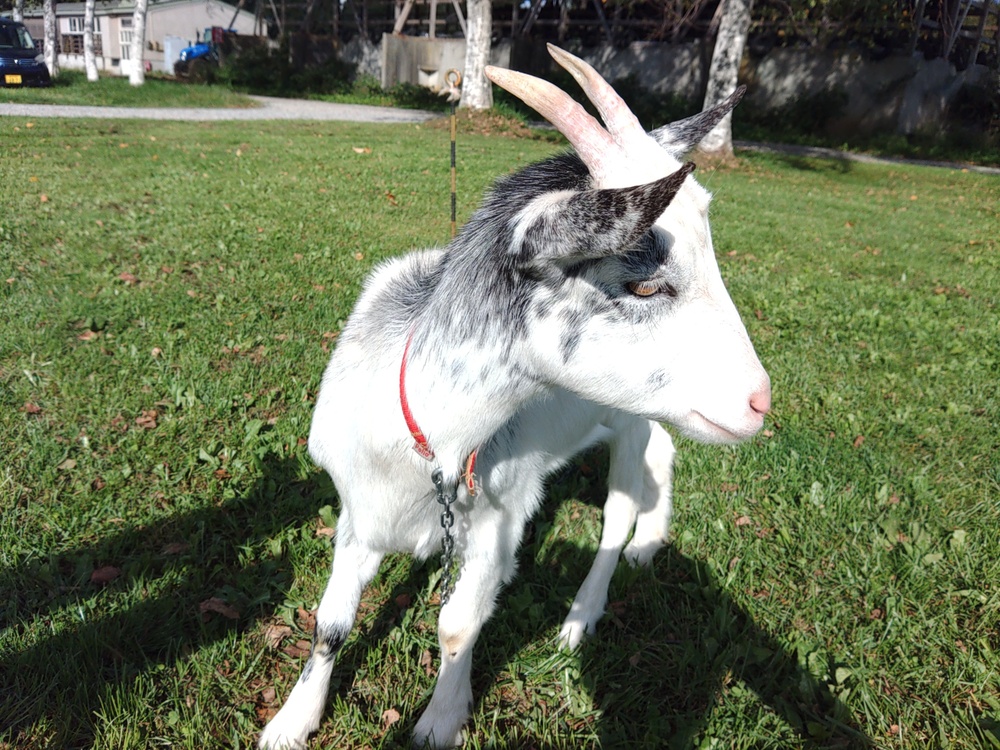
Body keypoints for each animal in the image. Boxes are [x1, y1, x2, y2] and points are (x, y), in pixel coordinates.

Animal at [259, 44, 770, 749]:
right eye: (643, 284)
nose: (759, 401)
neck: (429, 445)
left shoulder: (500, 523)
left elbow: (457, 624)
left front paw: (440, 720)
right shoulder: (358, 512)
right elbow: (329, 622)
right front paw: (291, 721)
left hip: (629, 419)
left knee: (619, 507)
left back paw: (582, 616)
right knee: (662, 461)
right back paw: (649, 545)